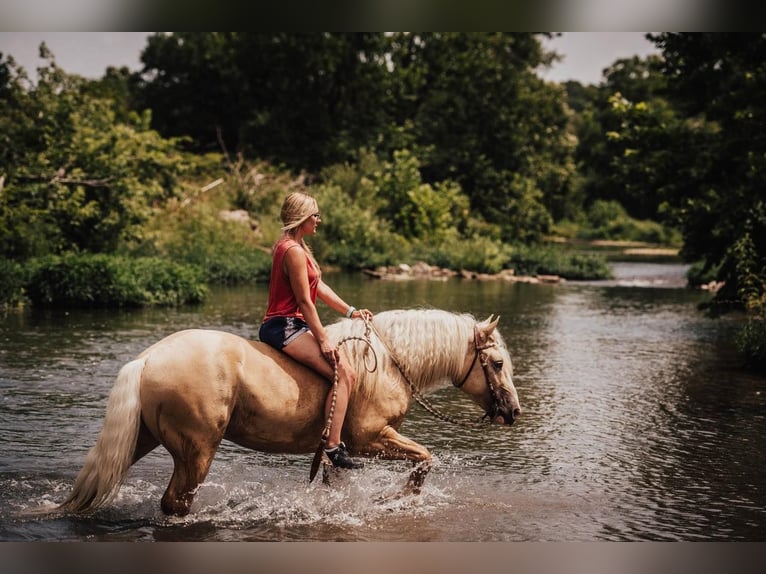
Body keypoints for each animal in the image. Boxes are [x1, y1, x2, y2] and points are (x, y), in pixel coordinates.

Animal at [52, 308, 521, 516]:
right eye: (497, 363)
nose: (514, 411)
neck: (389, 361)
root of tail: (148, 358)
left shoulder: (342, 452)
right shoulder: (369, 440)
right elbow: (425, 459)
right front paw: (395, 498)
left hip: (142, 438)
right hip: (196, 450)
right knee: (175, 503)